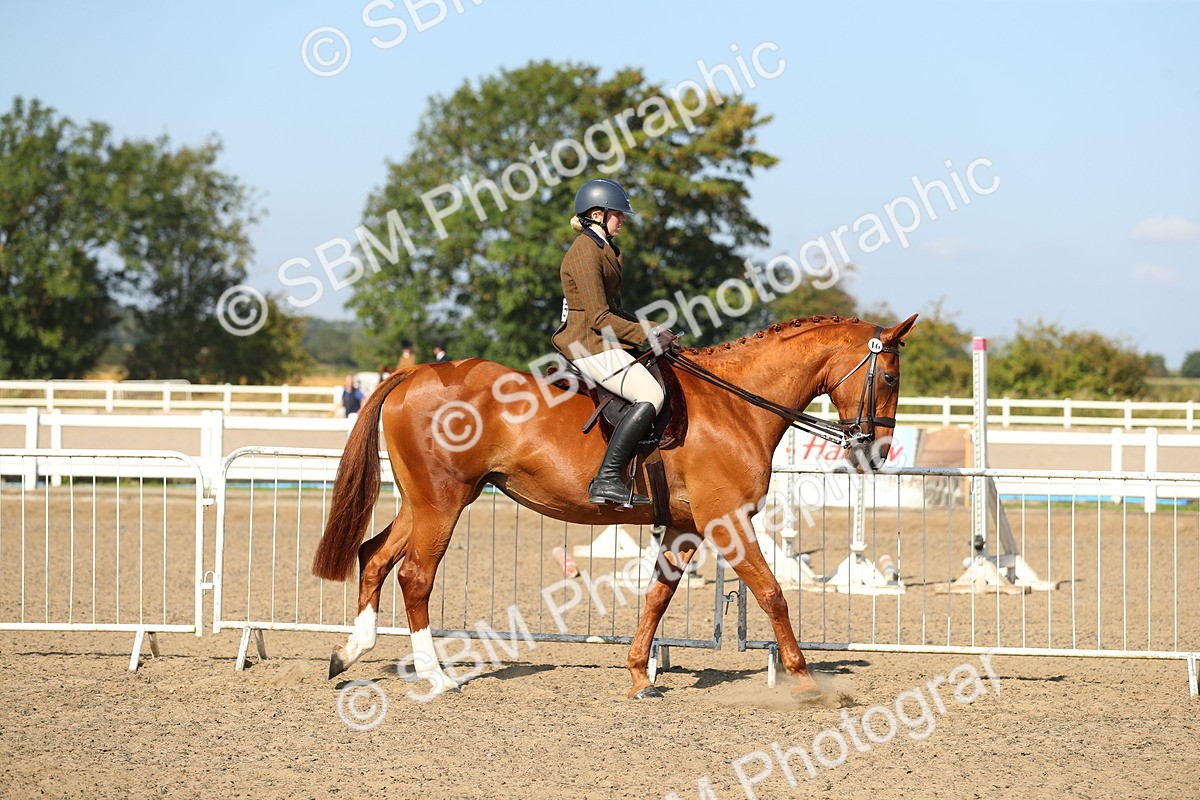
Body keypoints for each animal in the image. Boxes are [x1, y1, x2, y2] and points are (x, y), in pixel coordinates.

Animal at [311, 313, 918, 699]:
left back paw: (351, 652)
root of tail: (414, 373)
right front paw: (806, 680)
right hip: (443, 501)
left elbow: (657, 597)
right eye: (889, 376)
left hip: (421, 502)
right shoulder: (727, 523)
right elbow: (772, 595)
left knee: (375, 556)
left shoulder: (683, 528)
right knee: (415, 575)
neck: (735, 405)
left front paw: (639, 677)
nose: (877, 452)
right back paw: (436, 678)